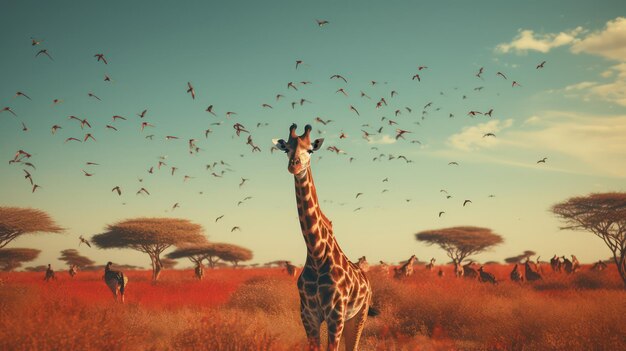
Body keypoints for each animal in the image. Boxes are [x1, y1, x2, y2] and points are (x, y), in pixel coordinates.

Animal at [272, 125, 376, 350]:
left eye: (310, 150)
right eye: (287, 149)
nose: (294, 165)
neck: (316, 253)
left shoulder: (335, 316)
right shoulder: (308, 315)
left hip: (359, 315)